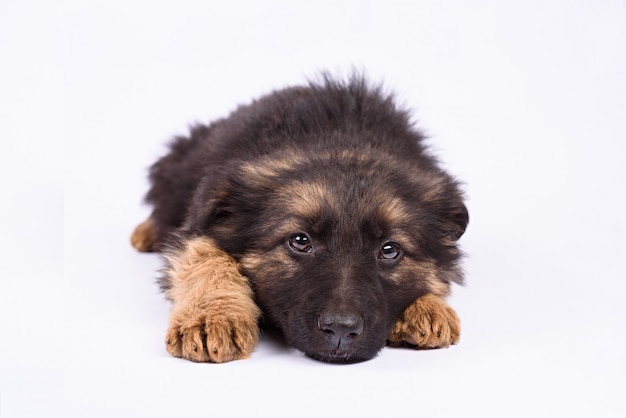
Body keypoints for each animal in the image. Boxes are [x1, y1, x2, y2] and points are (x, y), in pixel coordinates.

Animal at [132, 75, 466, 362]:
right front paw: (212, 316)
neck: (343, 142)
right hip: (180, 169)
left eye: (389, 249)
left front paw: (428, 308)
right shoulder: (198, 227)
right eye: (300, 241)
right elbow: (205, 259)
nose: (341, 330)